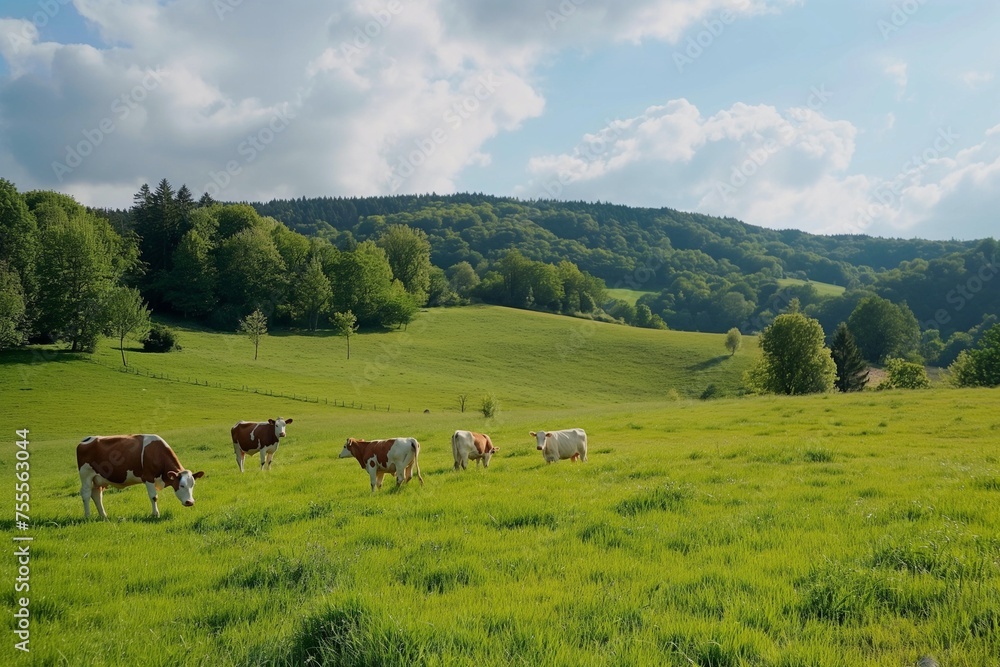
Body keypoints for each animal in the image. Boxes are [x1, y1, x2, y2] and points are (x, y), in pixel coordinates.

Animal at [76, 434, 207, 520]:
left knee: (97, 495)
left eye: (193, 485)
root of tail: (86, 439)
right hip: (86, 475)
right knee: (86, 494)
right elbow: (154, 497)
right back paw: (87, 516)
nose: (190, 502)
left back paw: (103, 516)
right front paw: (155, 514)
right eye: (182, 485)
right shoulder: (148, 477)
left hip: (98, 479)